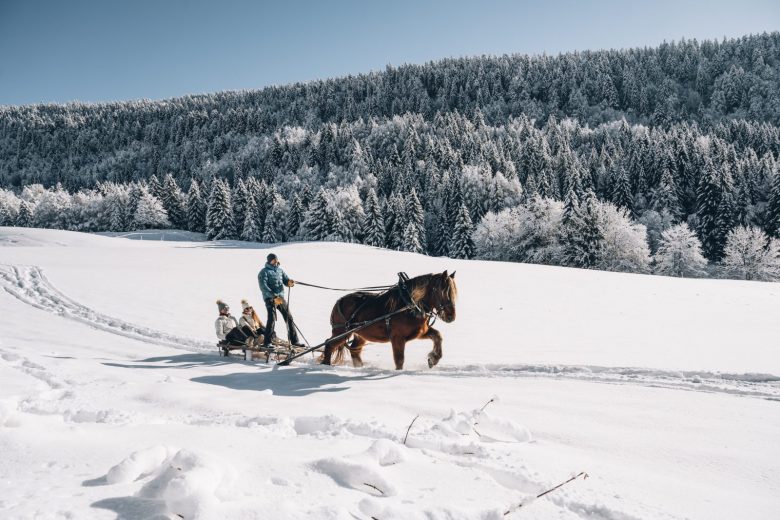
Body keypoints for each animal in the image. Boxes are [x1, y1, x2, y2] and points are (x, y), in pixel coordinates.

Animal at [322, 270, 458, 368]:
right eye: (441, 291)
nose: (451, 316)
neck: (408, 305)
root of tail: (340, 301)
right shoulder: (397, 338)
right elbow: (399, 360)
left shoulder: (420, 333)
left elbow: (438, 336)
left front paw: (433, 359)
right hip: (341, 332)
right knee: (329, 344)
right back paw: (326, 365)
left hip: (361, 334)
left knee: (355, 350)